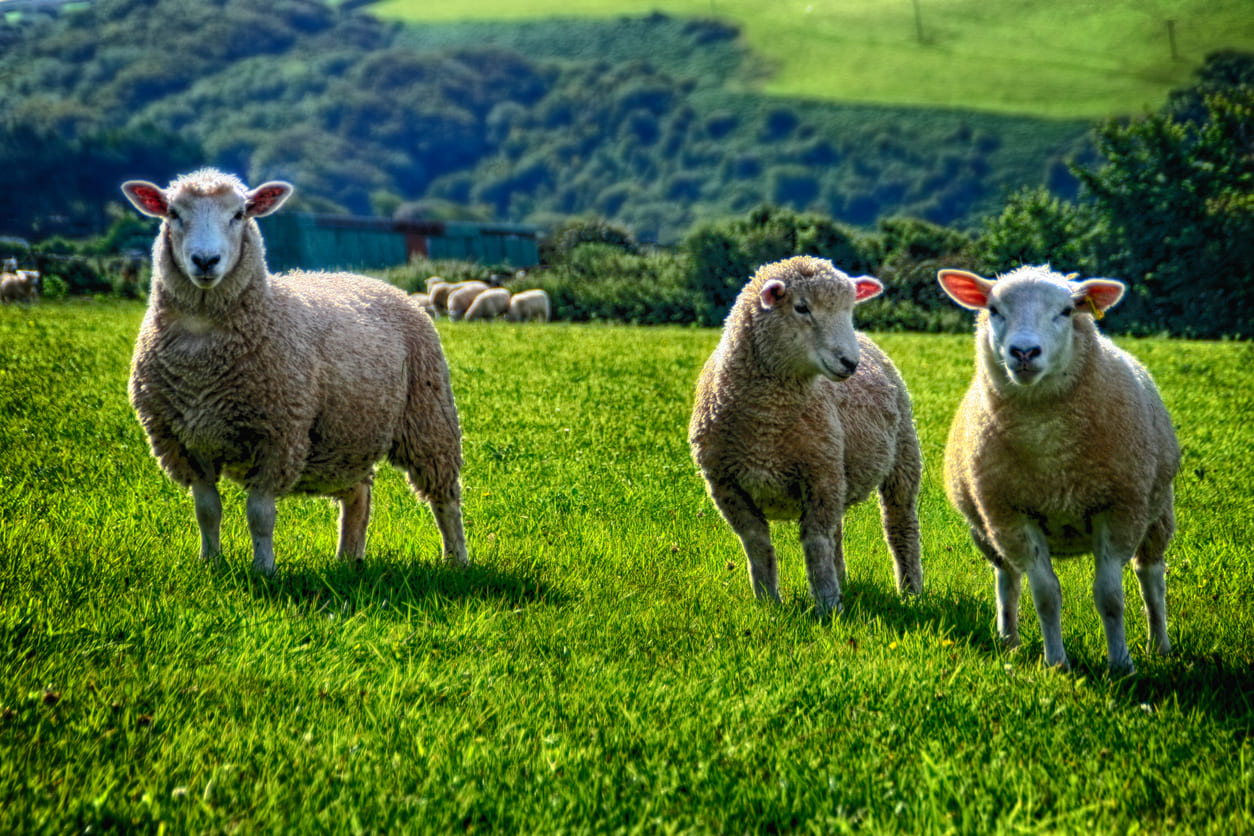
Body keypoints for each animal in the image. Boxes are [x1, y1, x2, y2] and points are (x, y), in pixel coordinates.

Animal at [122, 170, 468, 576]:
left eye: (239, 214)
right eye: (173, 213)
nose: (205, 260)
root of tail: (372, 281)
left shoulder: (276, 436)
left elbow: (259, 514)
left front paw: (263, 570)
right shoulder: (184, 443)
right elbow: (207, 511)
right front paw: (210, 563)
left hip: (429, 418)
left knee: (444, 499)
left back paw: (457, 560)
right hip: (347, 435)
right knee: (359, 495)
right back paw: (349, 558)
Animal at [687, 258, 922, 619]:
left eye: (849, 309)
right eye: (801, 307)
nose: (849, 362)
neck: (766, 426)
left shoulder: (819, 476)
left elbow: (816, 543)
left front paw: (828, 607)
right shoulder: (725, 485)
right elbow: (757, 545)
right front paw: (768, 603)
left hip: (902, 455)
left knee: (900, 525)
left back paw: (911, 593)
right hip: (838, 469)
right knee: (837, 531)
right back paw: (844, 581)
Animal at [937, 268, 1178, 671]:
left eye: (1066, 311)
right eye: (994, 309)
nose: (1024, 352)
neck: (1051, 456)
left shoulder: (1118, 510)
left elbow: (1110, 596)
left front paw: (1121, 664)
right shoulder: (1014, 516)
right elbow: (1046, 595)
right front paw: (1056, 664)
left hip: (1156, 513)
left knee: (1151, 578)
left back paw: (1159, 645)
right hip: (987, 531)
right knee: (1007, 578)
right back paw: (1009, 641)